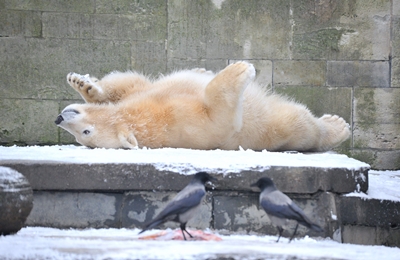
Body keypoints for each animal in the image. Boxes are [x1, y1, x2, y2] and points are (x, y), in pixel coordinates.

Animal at [55, 61, 350, 151]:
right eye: (85, 135)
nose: (59, 118)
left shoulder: (150, 97)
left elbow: (129, 83)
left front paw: (83, 84)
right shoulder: (185, 123)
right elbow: (219, 115)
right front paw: (240, 69)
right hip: (278, 126)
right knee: (300, 123)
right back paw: (338, 126)